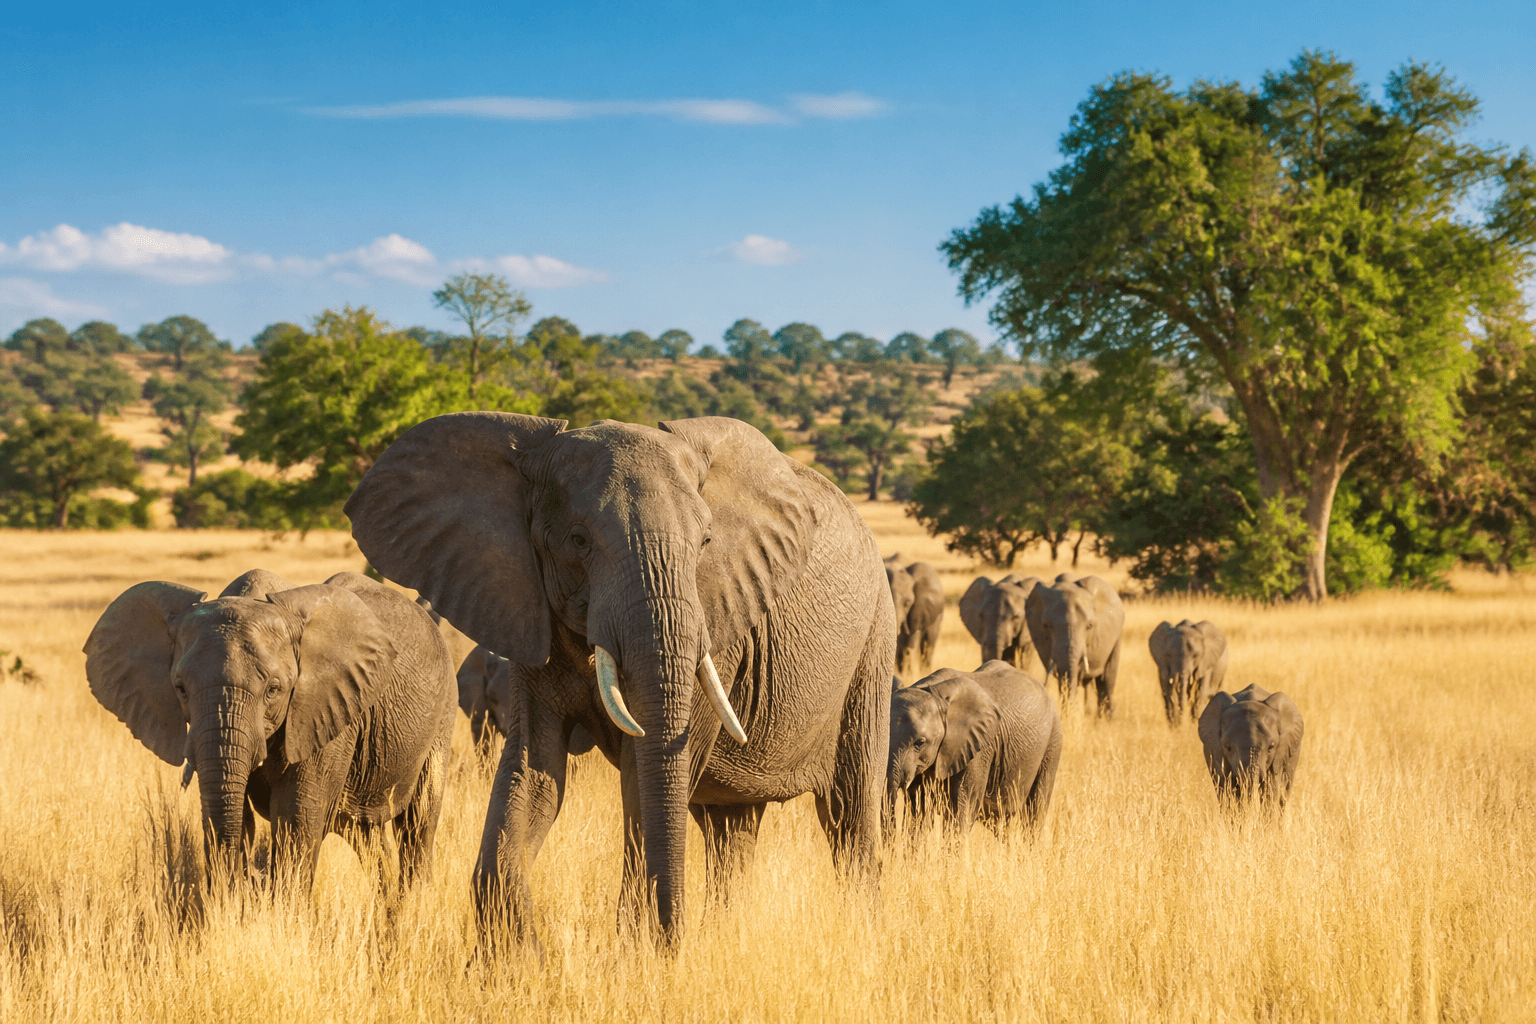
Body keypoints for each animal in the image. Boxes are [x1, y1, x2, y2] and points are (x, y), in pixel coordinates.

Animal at [83, 569, 457, 892]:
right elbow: (233, 815)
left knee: (418, 825)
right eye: (180, 689)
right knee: (367, 834)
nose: (251, 877)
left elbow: (296, 822)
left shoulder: (324, 709)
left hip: (445, 713)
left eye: (274, 690)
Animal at [344, 413, 895, 949]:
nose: (675, 943)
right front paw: (523, 957)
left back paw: (863, 935)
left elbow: (642, 775)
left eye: (706, 542)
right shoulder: (527, 611)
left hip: (874, 642)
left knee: (849, 813)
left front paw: (637, 953)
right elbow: (533, 771)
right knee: (731, 830)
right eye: (578, 541)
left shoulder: (718, 622)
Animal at [887, 662, 1061, 834]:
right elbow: (918, 808)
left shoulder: (979, 747)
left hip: (1053, 741)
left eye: (920, 743)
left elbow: (962, 807)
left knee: (1035, 810)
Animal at [1024, 574, 1125, 716]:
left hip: (1117, 636)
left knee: (1107, 680)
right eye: (1047, 625)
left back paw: (1106, 719)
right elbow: (1065, 677)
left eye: (1089, 626)